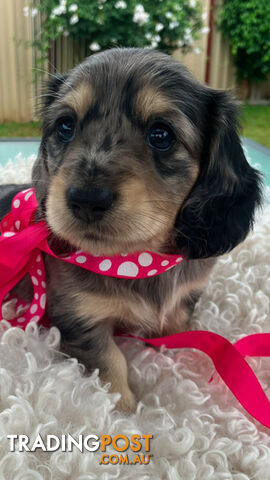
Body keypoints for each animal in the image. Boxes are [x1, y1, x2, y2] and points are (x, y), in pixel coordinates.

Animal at [0, 48, 262, 410]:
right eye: (65, 126)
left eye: (161, 134)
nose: (86, 199)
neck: (134, 260)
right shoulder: (79, 317)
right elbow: (110, 361)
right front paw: (122, 409)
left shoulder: (185, 298)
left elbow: (177, 327)